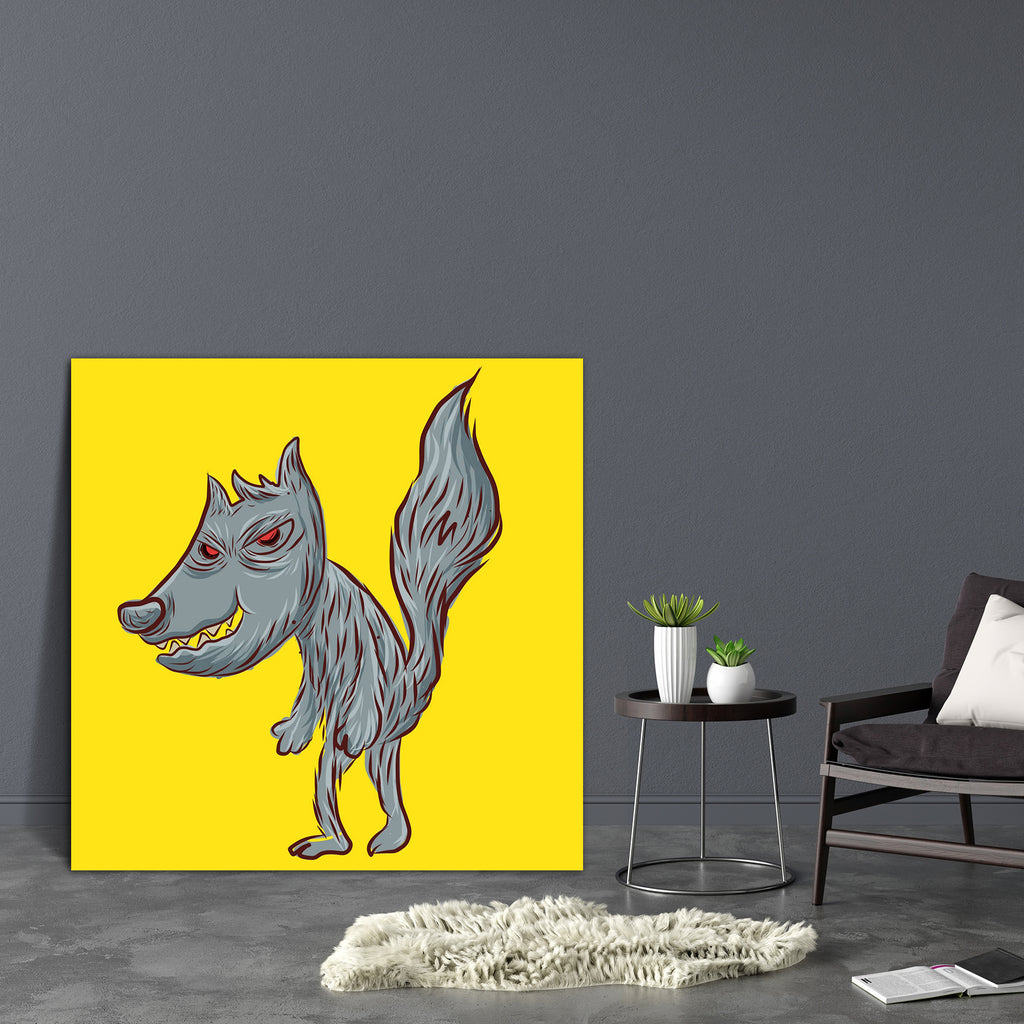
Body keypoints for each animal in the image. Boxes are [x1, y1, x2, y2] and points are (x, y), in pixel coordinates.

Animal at [117, 375, 501, 858]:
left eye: (267, 538)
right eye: (201, 545)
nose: (137, 612)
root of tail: (406, 691)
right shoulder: (314, 660)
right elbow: (309, 696)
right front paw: (292, 732)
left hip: (363, 734)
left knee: (342, 775)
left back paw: (339, 841)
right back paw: (388, 834)